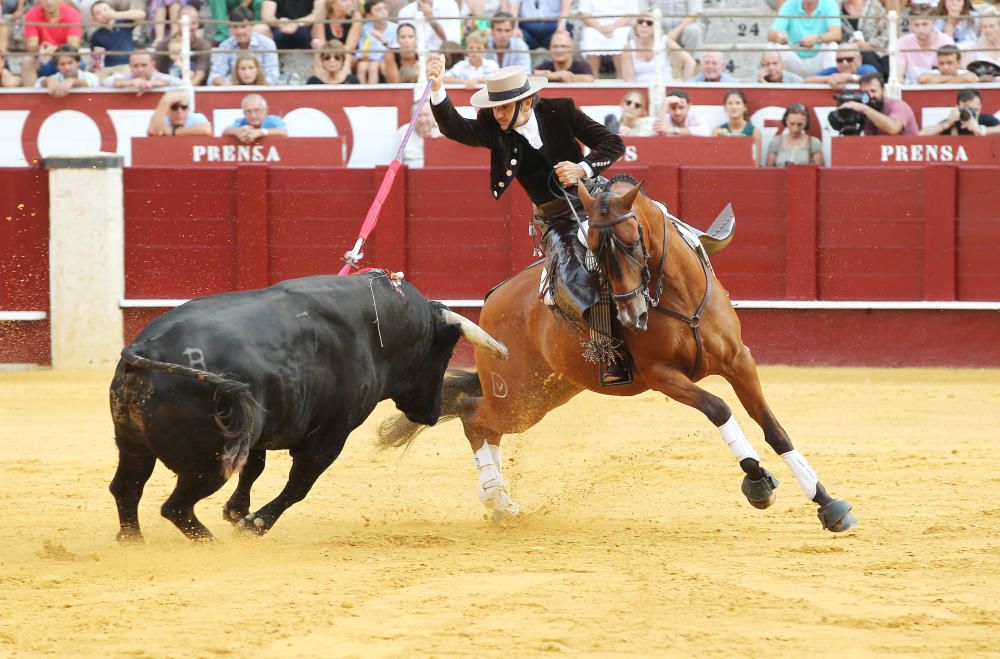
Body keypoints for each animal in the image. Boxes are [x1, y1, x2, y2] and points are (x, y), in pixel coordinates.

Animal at [109, 274, 508, 540]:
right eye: (445, 353)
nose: (431, 413)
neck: (377, 328)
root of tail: (147, 348)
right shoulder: (333, 433)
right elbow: (301, 482)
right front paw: (254, 524)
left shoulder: (262, 426)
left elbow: (254, 468)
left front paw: (237, 513)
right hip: (207, 463)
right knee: (175, 507)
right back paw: (209, 543)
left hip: (134, 444)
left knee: (126, 490)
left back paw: (134, 542)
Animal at [378, 179, 856, 532]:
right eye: (594, 248)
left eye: (633, 239)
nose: (632, 315)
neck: (678, 296)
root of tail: (493, 298)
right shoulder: (663, 375)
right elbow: (718, 408)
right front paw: (757, 482)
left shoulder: (740, 360)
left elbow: (774, 428)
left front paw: (827, 503)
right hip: (520, 395)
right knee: (473, 415)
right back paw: (497, 498)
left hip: (547, 391)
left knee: (480, 417)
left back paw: (500, 501)